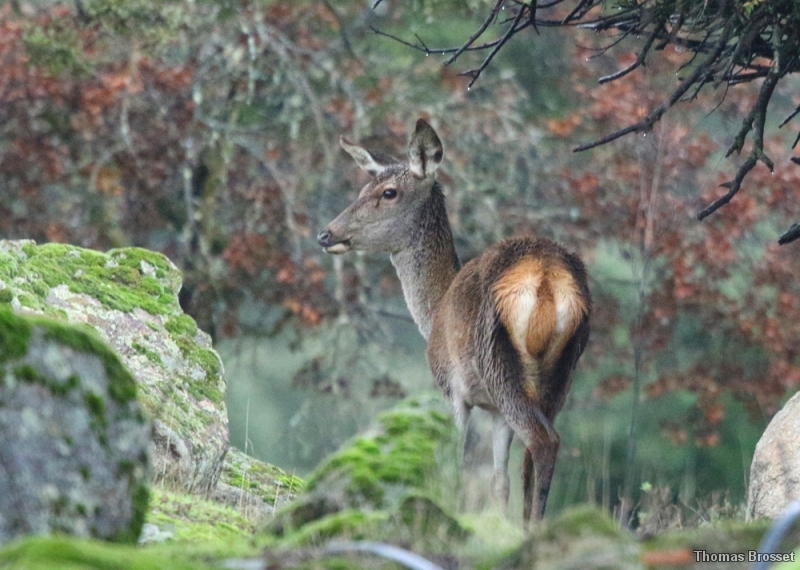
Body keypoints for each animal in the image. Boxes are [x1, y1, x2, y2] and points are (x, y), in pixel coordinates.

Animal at [316, 118, 592, 524]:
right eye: (363, 186)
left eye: (388, 192)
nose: (326, 233)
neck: (432, 312)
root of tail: (547, 278)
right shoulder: (493, 409)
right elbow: (498, 482)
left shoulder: (453, 387)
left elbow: (455, 468)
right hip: (561, 374)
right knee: (532, 455)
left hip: (497, 361)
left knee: (543, 441)